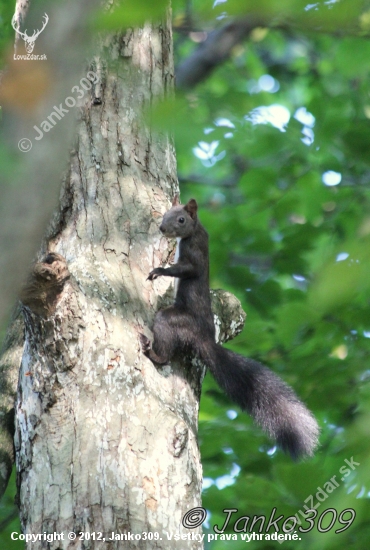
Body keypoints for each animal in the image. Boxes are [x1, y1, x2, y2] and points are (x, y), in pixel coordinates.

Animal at [140, 196, 320, 460]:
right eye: (165, 215)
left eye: (181, 219)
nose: (162, 229)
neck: (196, 231)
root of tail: (205, 338)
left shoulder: (194, 253)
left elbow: (188, 269)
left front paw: (160, 270)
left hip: (175, 321)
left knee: (164, 346)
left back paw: (153, 352)